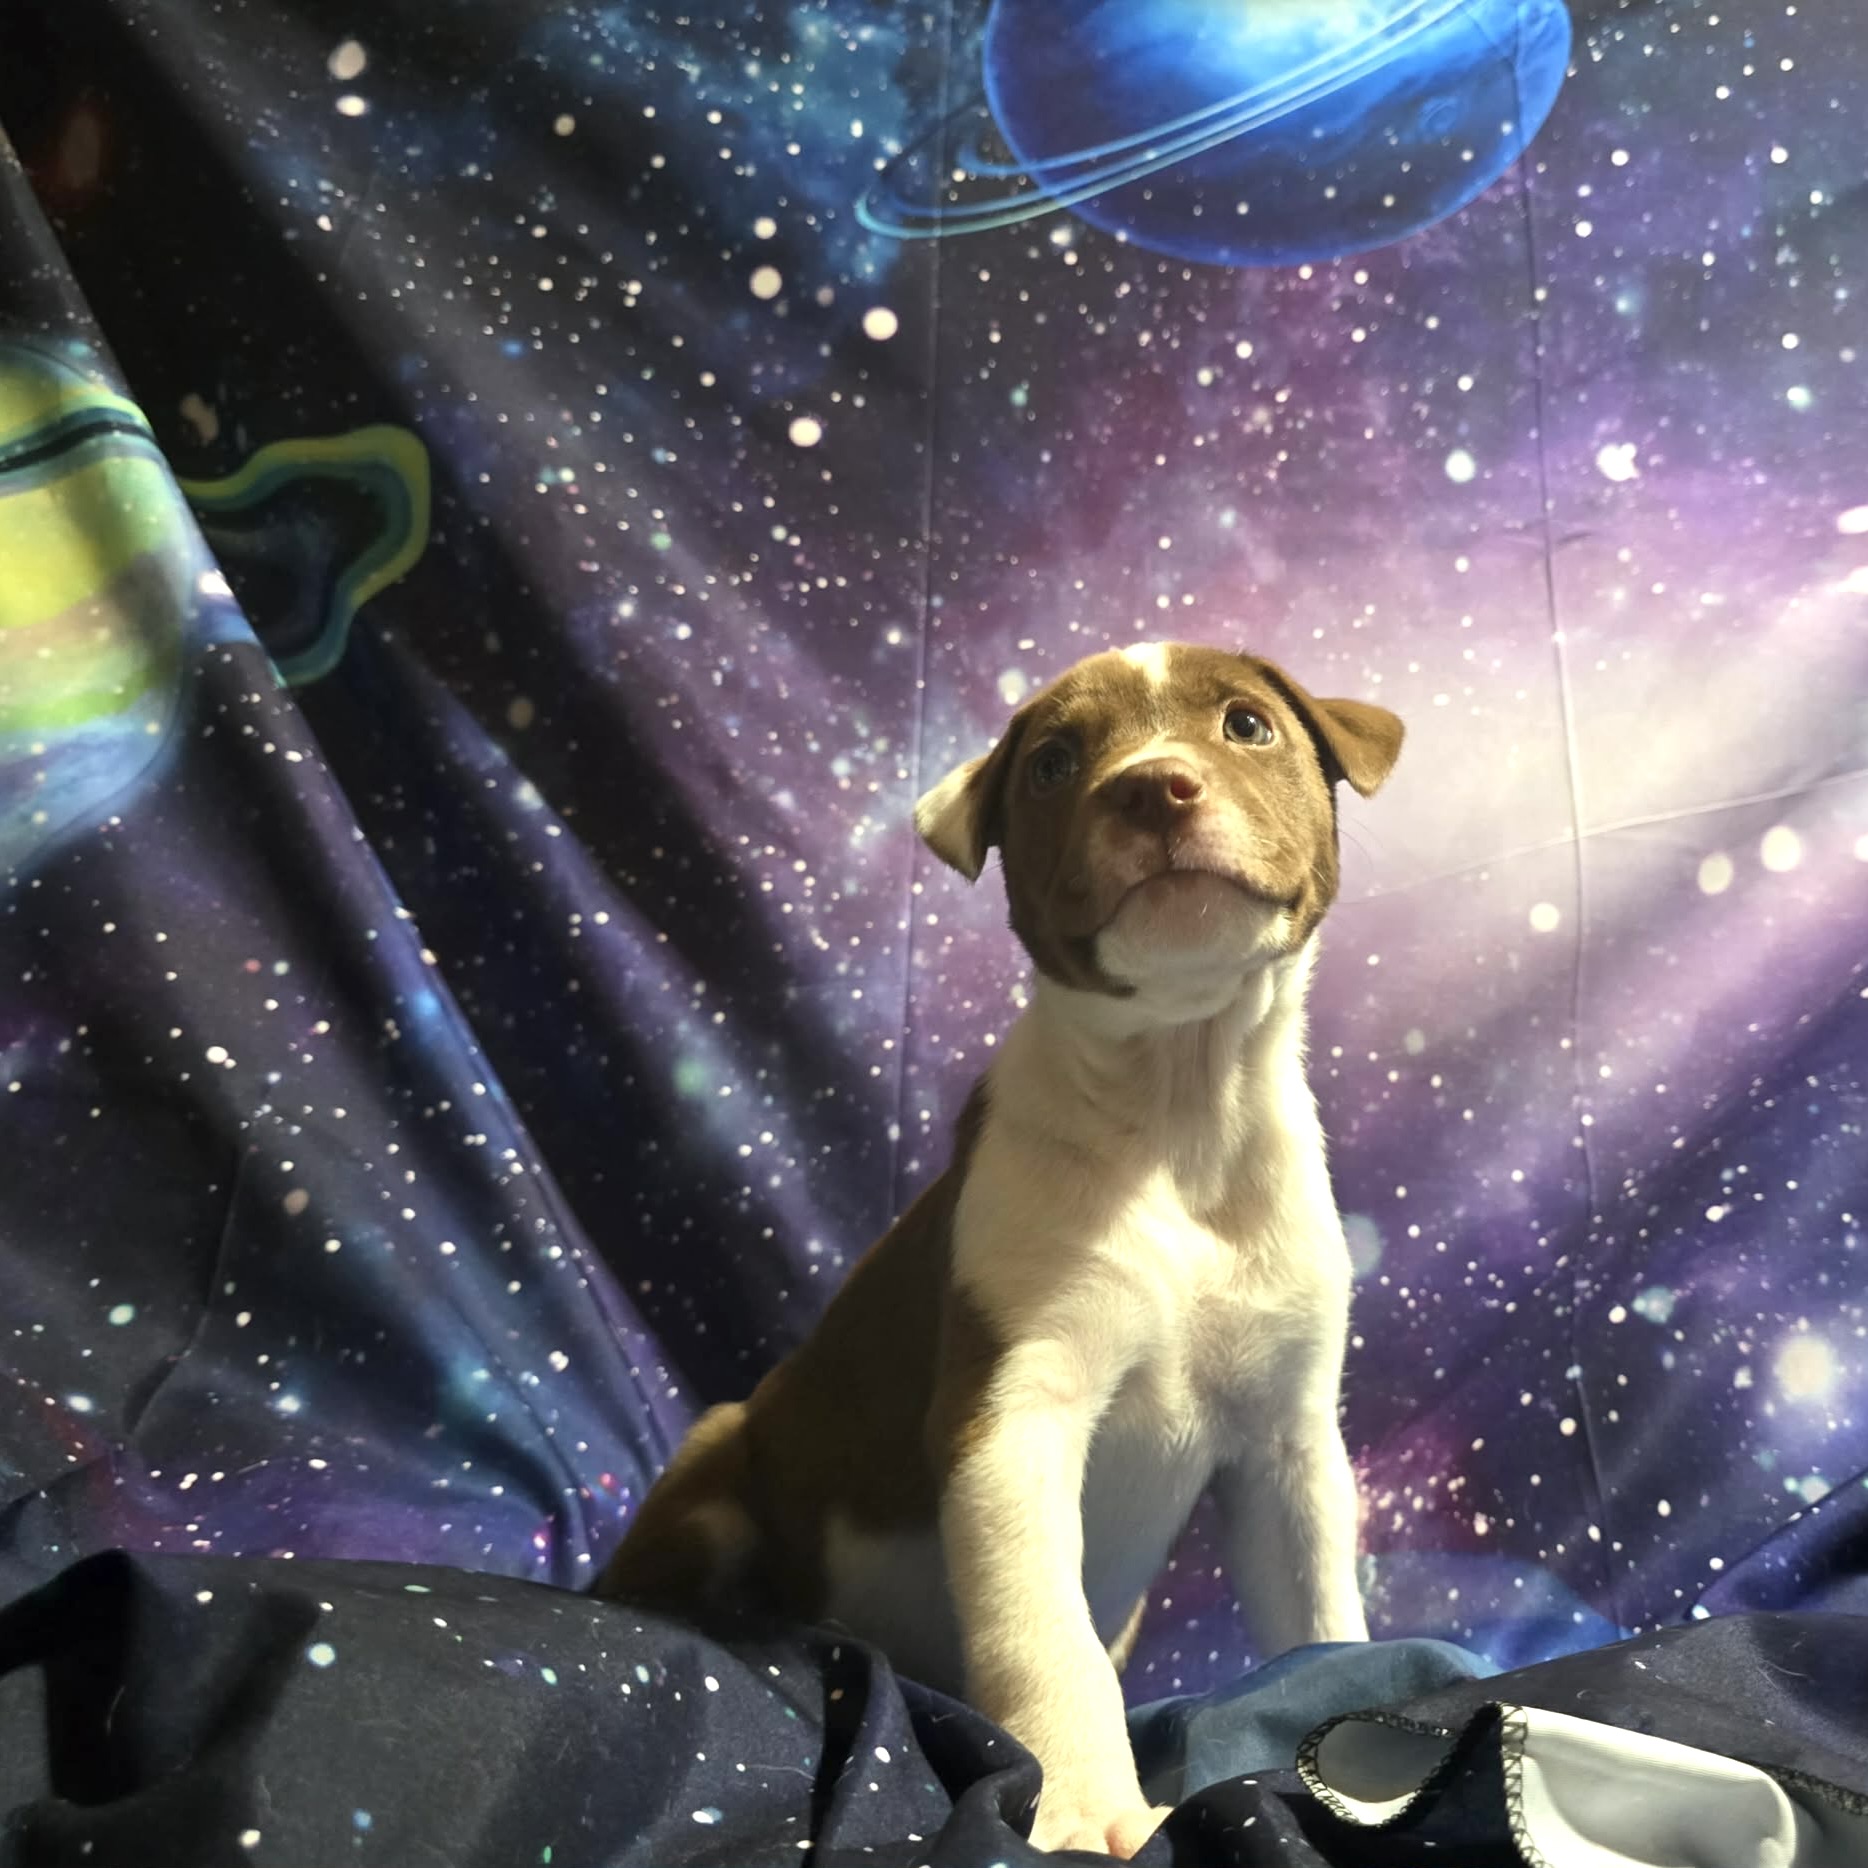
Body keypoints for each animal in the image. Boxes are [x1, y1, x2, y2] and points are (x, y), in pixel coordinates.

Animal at [596, 641, 1403, 1857]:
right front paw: (1088, 1807)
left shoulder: (1288, 1447)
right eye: (1054, 763)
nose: (1153, 786)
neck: (1178, 1105)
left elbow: (1318, 1610)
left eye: (1247, 724)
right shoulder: (1011, 1418)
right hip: (716, 1464)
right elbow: (1043, 1631)